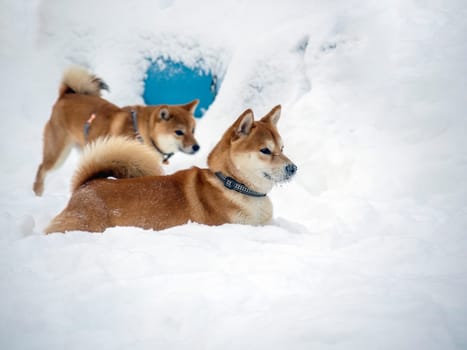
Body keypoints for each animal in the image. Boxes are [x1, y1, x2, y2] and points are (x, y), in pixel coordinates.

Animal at [32, 66, 201, 197]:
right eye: (179, 132)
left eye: (193, 130)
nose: (197, 147)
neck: (142, 134)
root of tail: (66, 95)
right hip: (57, 155)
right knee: (41, 168)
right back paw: (38, 193)